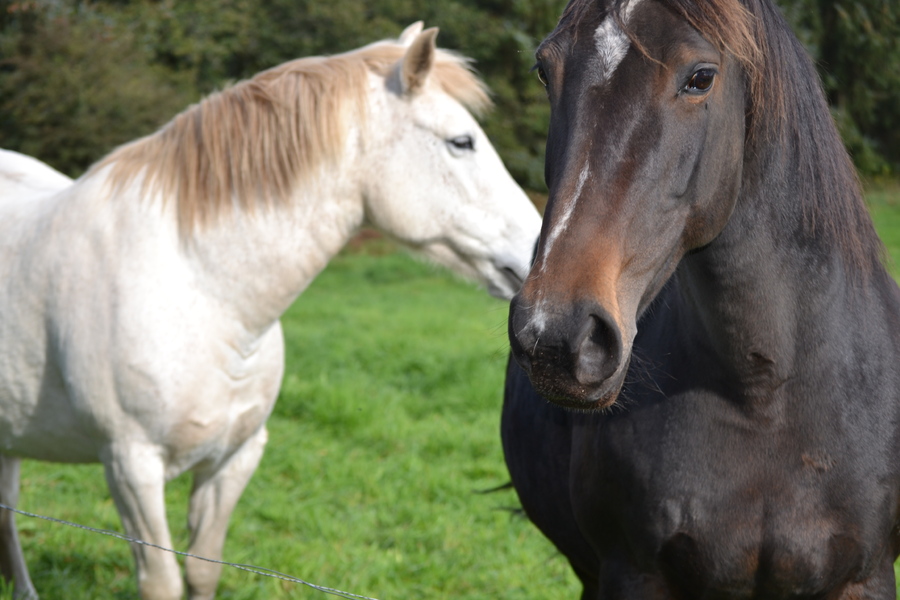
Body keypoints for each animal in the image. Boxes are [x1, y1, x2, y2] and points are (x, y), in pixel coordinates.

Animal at [0, 22, 536, 600]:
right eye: (461, 142)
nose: (537, 252)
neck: (203, 293)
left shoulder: (235, 459)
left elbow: (203, 569)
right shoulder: (129, 467)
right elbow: (163, 580)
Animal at [506, 0, 900, 596]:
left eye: (700, 78)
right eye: (543, 70)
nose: (556, 335)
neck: (764, 396)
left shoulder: (866, 575)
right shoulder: (631, 572)